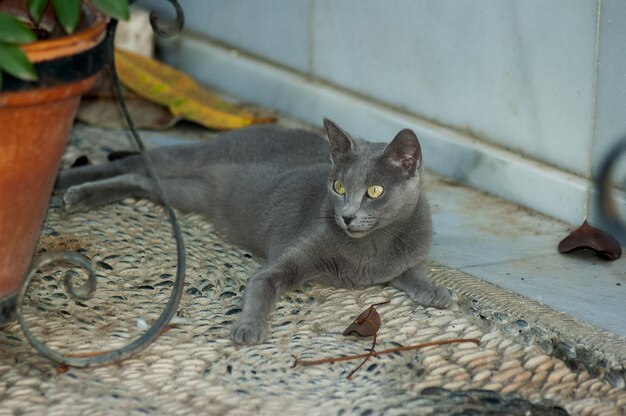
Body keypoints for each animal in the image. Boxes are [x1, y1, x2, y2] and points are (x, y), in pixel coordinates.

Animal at [57, 119, 448, 344]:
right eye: (338, 186)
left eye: (375, 191)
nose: (347, 217)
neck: (371, 247)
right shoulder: (290, 257)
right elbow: (263, 284)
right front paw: (249, 327)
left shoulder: (406, 256)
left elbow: (412, 272)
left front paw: (434, 291)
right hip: (190, 159)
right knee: (134, 161)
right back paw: (67, 184)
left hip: (190, 192)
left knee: (142, 180)